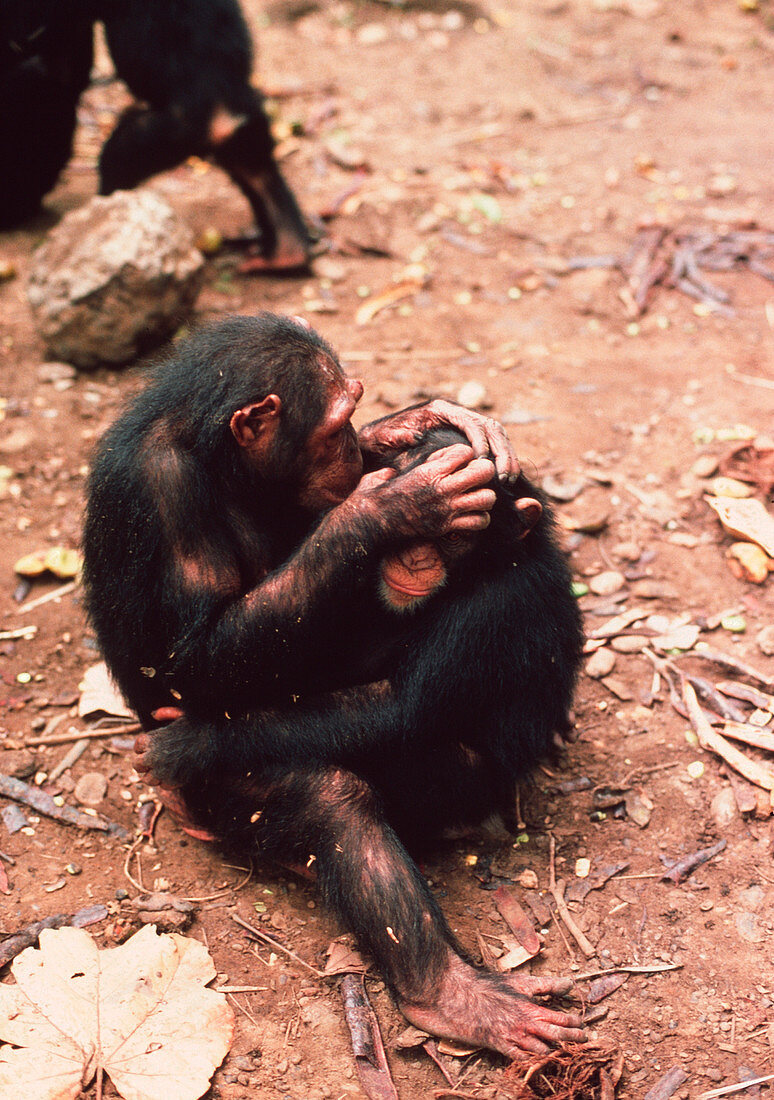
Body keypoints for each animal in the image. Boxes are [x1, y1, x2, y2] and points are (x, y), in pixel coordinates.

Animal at [0, 1, 307, 268]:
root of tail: (225, 115)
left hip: (165, 135)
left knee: (117, 158)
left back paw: (106, 213)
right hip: (244, 124)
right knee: (255, 167)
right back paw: (287, 252)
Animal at [81, 314, 584, 1060]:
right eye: (334, 428)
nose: (353, 451)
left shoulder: (488, 608)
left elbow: (401, 709)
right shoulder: (164, 487)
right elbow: (189, 658)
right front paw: (392, 503)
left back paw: (449, 997)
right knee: (326, 799)